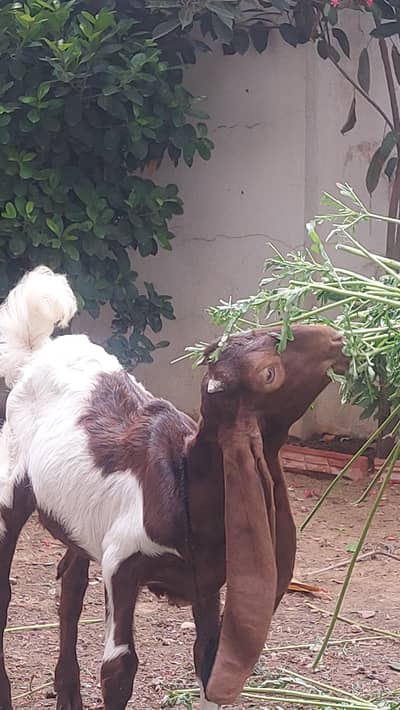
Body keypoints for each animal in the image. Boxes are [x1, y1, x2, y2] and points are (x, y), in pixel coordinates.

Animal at [0, 266, 348, 710]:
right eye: (269, 374)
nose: (338, 340)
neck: (184, 485)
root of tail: (38, 352)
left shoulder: (207, 580)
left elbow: (209, 657)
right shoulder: (121, 562)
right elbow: (119, 669)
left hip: (77, 515)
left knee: (71, 585)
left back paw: (68, 694)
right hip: (11, 481)